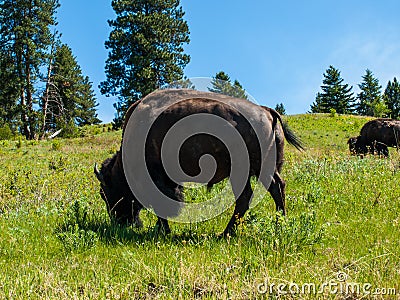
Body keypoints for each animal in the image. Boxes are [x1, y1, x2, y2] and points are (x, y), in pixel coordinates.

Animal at [93, 89, 304, 237]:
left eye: (105, 193)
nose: (119, 221)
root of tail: (266, 111)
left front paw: (163, 230)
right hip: (258, 170)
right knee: (268, 191)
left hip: (248, 170)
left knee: (261, 192)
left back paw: (232, 232)